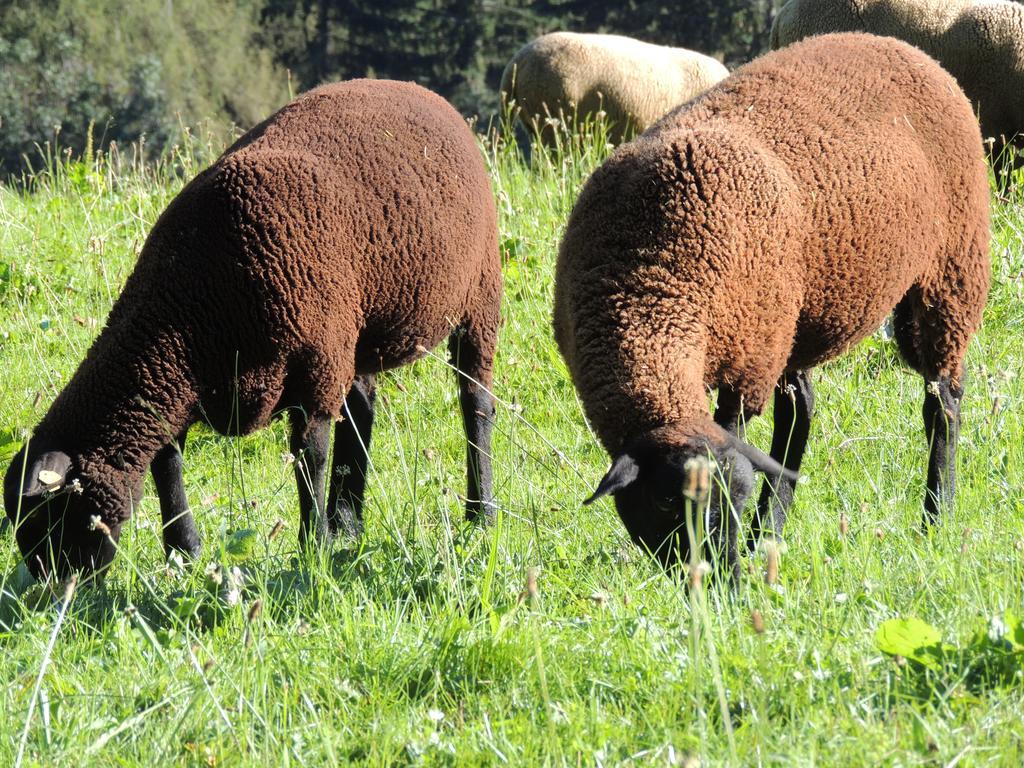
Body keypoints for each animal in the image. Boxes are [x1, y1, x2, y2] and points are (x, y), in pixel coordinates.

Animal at [3, 79, 499, 581]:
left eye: (52, 520)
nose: (52, 591)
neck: (190, 307)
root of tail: (419, 92)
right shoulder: (181, 388)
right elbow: (167, 465)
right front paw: (185, 552)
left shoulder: (313, 371)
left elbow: (309, 460)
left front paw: (313, 548)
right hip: (354, 329)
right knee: (362, 408)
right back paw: (348, 522)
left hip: (478, 295)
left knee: (475, 403)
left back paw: (480, 513)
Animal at [552, 33, 991, 581]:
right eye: (667, 503)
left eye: (731, 501)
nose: (722, 584)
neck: (651, 286)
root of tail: (902, 47)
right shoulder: (759, 342)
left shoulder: (746, 366)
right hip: (793, 317)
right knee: (801, 409)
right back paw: (771, 534)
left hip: (949, 272)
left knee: (942, 401)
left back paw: (936, 516)